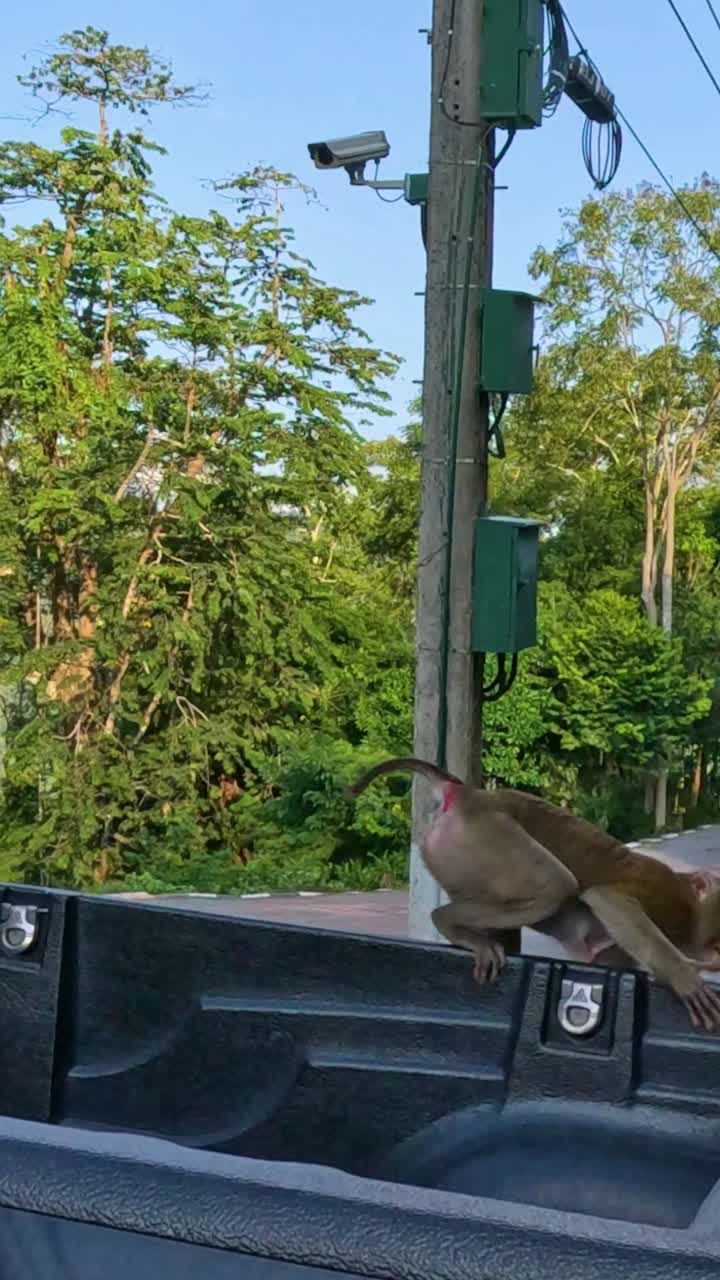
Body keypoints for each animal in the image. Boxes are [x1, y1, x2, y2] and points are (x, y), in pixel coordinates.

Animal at [347, 757, 720, 1031]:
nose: (714, 954)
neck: (690, 907)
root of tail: (469, 795)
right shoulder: (665, 897)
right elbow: (608, 899)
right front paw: (685, 979)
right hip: (482, 835)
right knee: (557, 884)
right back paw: (449, 922)